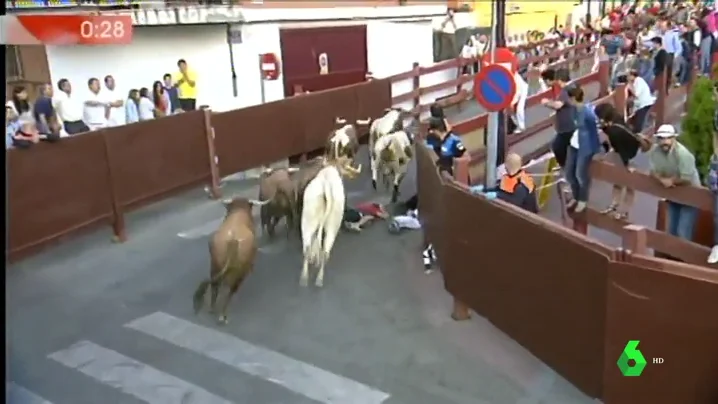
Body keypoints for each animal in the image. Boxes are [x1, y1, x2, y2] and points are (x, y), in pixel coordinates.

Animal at [193, 196, 272, 326]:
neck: (239, 211)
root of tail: (233, 241)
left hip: (214, 265)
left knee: (215, 286)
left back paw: (212, 309)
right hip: (239, 273)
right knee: (229, 291)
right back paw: (223, 315)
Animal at [300, 159, 362, 288]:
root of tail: (326, 185)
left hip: (308, 220)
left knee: (308, 247)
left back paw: (305, 279)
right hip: (331, 224)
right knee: (324, 251)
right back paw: (318, 279)